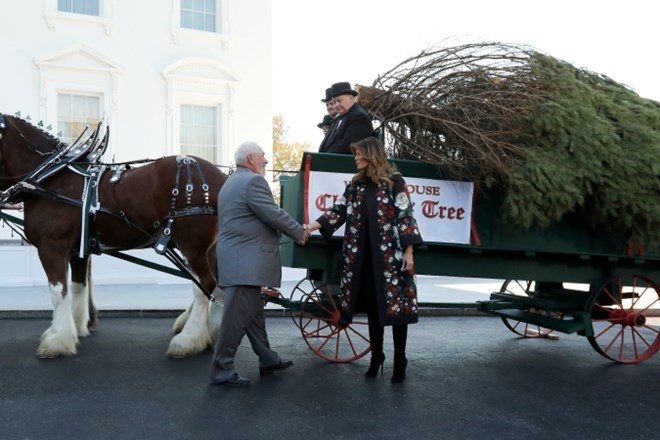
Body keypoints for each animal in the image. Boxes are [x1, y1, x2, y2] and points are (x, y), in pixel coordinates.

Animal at [0, 115, 227, 360]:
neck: (50, 178)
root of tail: (223, 178)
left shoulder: (52, 248)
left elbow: (58, 291)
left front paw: (57, 340)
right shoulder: (77, 250)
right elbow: (77, 287)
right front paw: (76, 328)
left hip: (193, 246)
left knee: (205, 285)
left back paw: (188, 339)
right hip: (207, 248)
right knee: (216, 285)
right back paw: (211, 330)